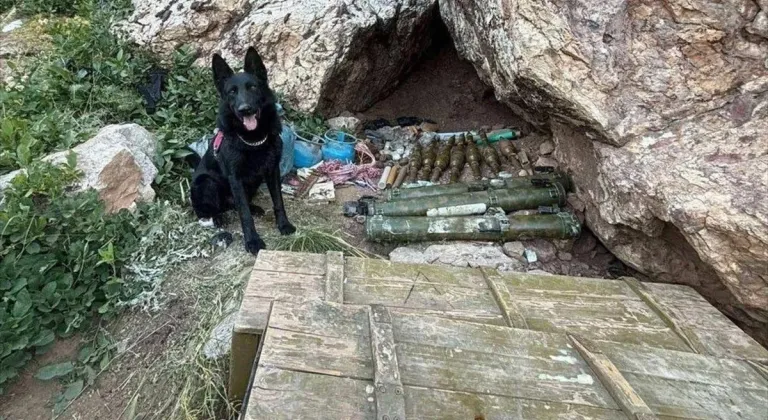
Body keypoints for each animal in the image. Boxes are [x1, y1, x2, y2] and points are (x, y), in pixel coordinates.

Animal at [190, 47, 296, 254]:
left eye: (253, 87)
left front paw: (283, 224)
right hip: (206, 182)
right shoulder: (235, 178)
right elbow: (244, 215)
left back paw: (254, 208)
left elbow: (278, 201)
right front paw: (253, 241)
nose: (245, 109)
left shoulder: (272, 171)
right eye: (232, 92)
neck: (253, 140)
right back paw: (216, 218)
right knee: (211, 210)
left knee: (236, 205)